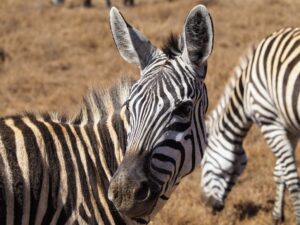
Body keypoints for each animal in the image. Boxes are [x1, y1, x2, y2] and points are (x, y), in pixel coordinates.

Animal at [200, 27, 300, 224]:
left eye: (204, 163)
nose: (210, 206)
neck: (246, 89)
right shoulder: (289, 127)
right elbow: (281, 171)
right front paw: (277, 216)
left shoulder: (269, 122)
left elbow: (291, 176)